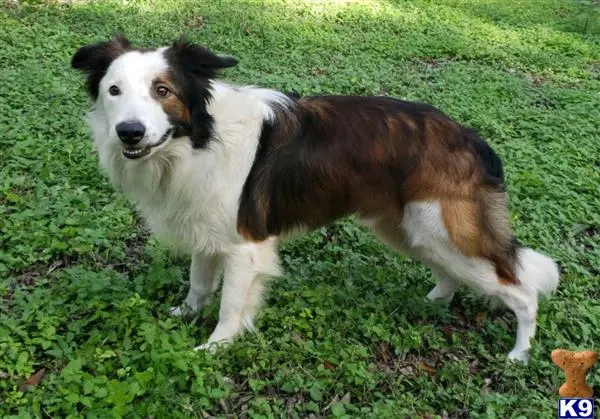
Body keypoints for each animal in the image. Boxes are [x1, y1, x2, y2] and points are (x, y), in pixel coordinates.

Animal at [72, 36, 560, 362]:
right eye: (113, 91)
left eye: (162, 91)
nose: (129, 132)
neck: (197, 139)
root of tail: (471, 139)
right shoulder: (207, 230)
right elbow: (198, 282)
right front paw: (186, 313)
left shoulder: (245, 247)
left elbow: (230, 304)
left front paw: (216, 346)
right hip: (413, 230)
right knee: (451, 274)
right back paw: (433, 301)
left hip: (448, 232)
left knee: (522, 289)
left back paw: (519, 353)